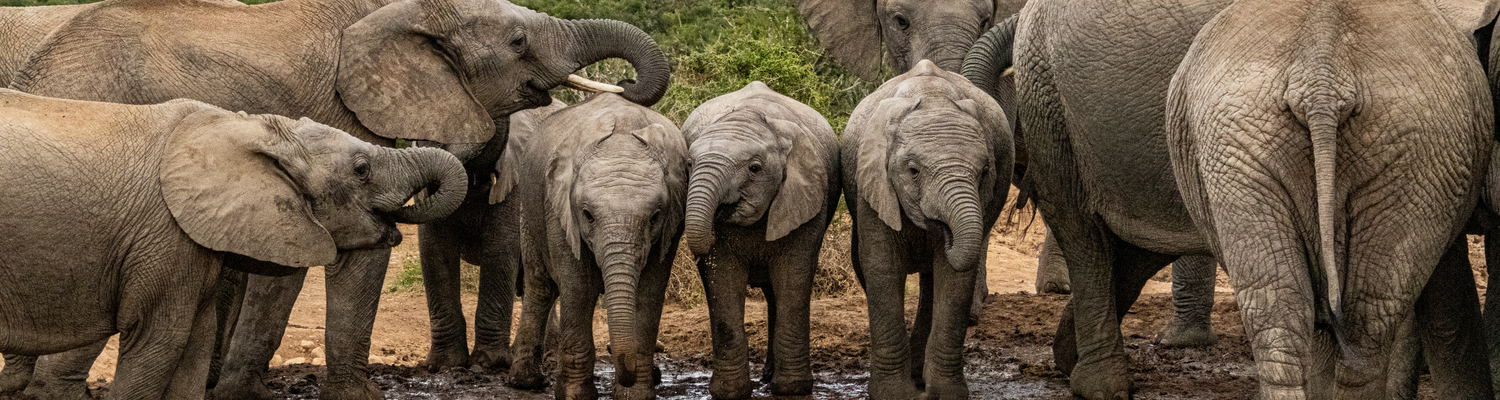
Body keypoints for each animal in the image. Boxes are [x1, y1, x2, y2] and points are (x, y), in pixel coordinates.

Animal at [0, 89, 467, 399]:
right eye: (362, 169)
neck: (248, 127)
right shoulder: (163, 237)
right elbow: (159, 343)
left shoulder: (187, 243)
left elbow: (195, 345)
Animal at [504, 93, 687, 400]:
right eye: (588, 215)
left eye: (655, 217)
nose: (626, 370)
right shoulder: (558, 210)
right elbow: (578, 288)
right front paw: (575, 396)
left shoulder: (671, 225)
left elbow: (649, 292)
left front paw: (634, 395)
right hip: (528, 208)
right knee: (540, 285)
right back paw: (525, 382)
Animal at [677, 81, 841, 399]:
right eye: (689, 164)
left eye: (754, 168)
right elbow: (722, 279)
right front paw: (729, 392)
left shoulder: (807, 201)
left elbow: (793, 277)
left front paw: (792, 388)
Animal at [842, 60, 1011, 399]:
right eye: (913, 171)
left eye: (985, 172)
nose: (944, 232)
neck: (933, 99)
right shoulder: (874, 183)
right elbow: (881, 267)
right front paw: (894, 394)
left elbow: (954, 277)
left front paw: (945, 394)